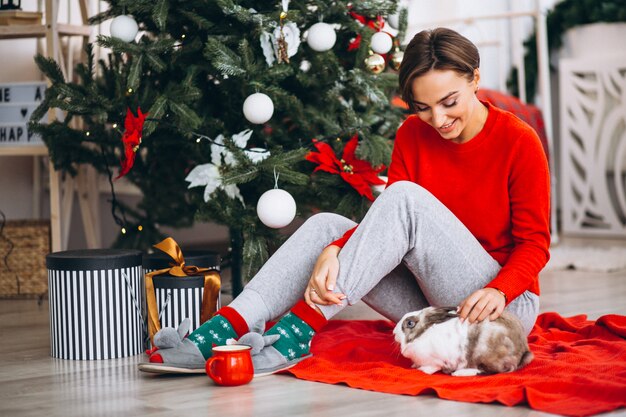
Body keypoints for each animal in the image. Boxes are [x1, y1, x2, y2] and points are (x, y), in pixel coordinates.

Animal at [390, 304, 532, 376]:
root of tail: (523, 352)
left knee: (493, 371)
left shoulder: (436, 360)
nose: (394, 332)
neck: (421, 334)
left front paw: (422, 370)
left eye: (410, 323)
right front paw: (414, 366)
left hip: (485, 353)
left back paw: (460, 373)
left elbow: (432, 367)